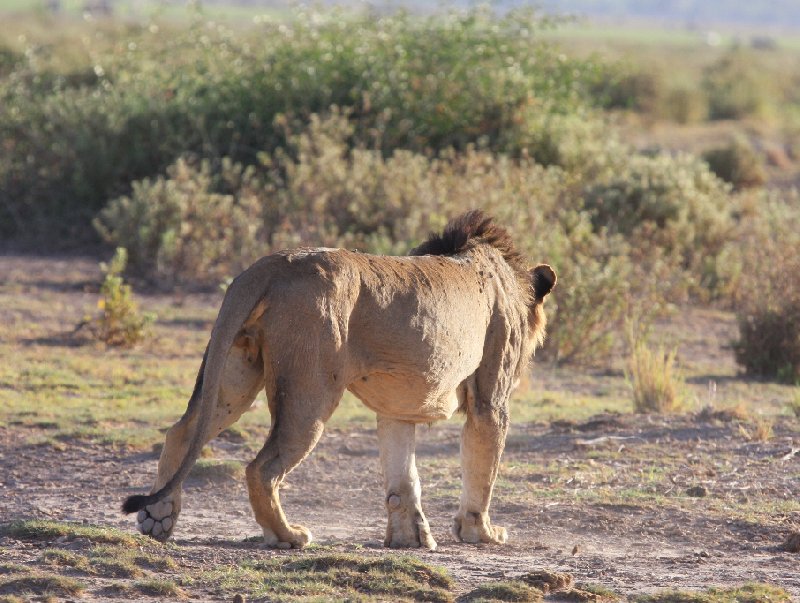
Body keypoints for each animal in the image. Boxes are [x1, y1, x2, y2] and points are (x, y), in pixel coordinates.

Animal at [122, 209, 556, 552]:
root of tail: (273, 264)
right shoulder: (490, 399)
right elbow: (483, 467)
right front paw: (482, 532)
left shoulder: (397, 406)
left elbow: (402, 475)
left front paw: (408, 539)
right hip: (310, 391)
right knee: (260, 468)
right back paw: (287, 536)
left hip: (234, 373)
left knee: (182, 430)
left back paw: (157, 517)